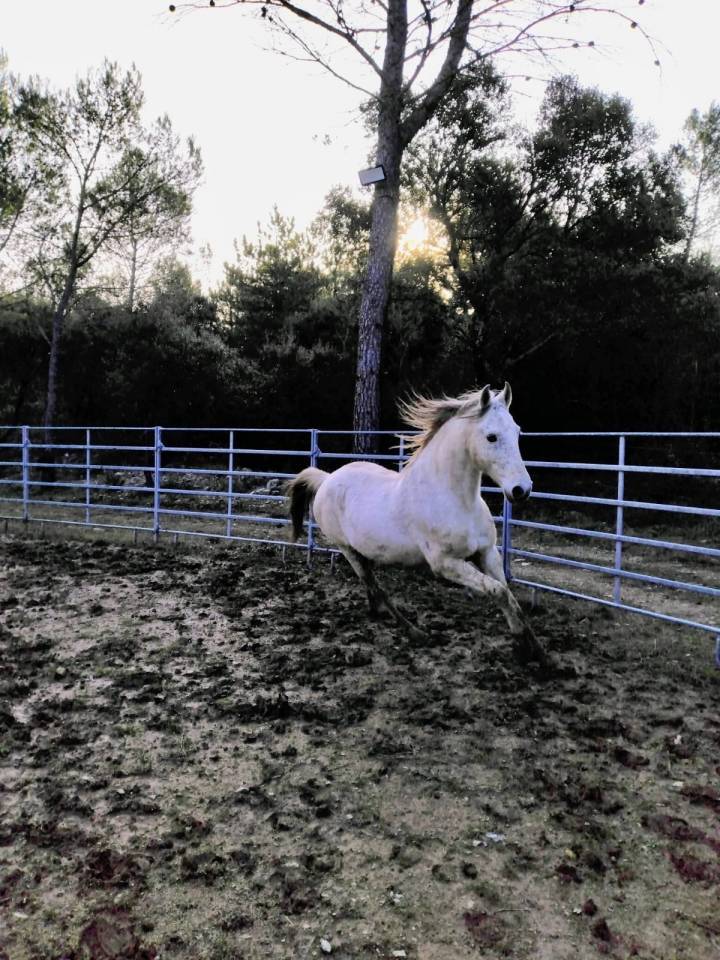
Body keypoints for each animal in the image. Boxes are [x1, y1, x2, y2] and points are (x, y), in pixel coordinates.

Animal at [287, 383, 547, 665]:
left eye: (517, 431)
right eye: (491, 437)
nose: (521, 490)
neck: (455, 500)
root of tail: (326, 479)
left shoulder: (487, 553)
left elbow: (508, 595)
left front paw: (536, 650)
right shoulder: (445, 564)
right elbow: (498, 591)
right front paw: (524, 647)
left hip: (363, 551)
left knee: (371, 586)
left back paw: (377, 613)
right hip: (347, 550)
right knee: (375, 586)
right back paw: (415, 632)